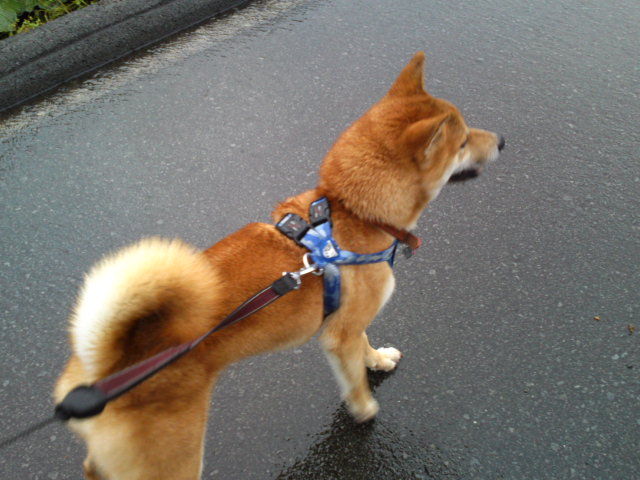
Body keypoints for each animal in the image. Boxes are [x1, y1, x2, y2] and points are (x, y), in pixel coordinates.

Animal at [54, 51, 505, 479]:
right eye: (463, 141)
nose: (503, 139)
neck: (351, 213)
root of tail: (102, 364)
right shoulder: (338, 336)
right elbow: (354, 379)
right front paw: (365, 409)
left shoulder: (349, 321)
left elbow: (365, 346)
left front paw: (377, 360)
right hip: (173, 457)